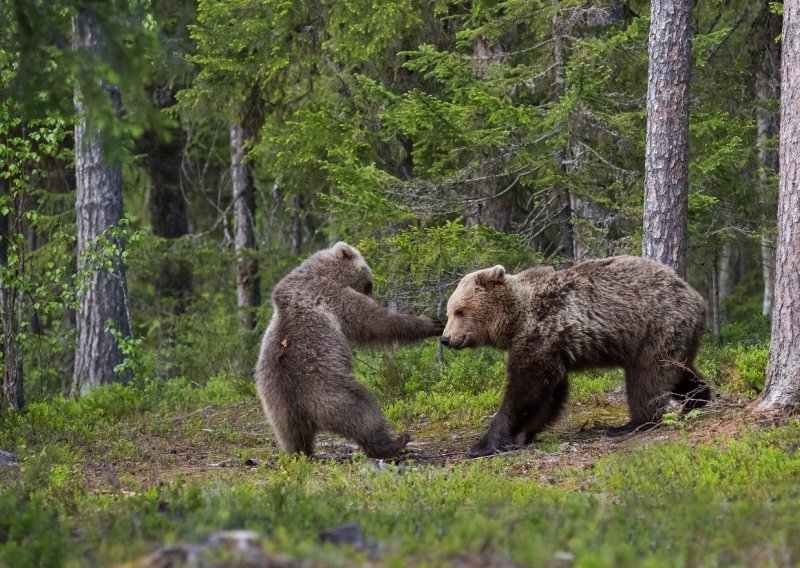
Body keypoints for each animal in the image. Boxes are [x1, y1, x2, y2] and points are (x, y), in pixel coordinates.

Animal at [255, 242, 444, 460]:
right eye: (369, 284)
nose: (373, 297)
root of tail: (301, 412)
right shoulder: (333, 295)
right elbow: (373, 322)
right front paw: (430, 323)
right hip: (331, 393)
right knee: (362, 413)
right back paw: (394, 442)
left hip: (276, 411)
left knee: (292, 439)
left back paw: (302, 454)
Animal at [444, 256, 712, 458]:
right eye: (449, 312)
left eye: (459, 311)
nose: (446, 338)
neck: (515, 320)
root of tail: (698, 298)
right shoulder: (551, 348)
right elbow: (548, 394)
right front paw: (521, 435)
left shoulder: (541, 333)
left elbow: (526, 389)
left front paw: (483, 444)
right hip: (675, 336)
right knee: (678, 369)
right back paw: (698, 398)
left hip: (655, 327)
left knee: (647, 376)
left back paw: (632, 424)